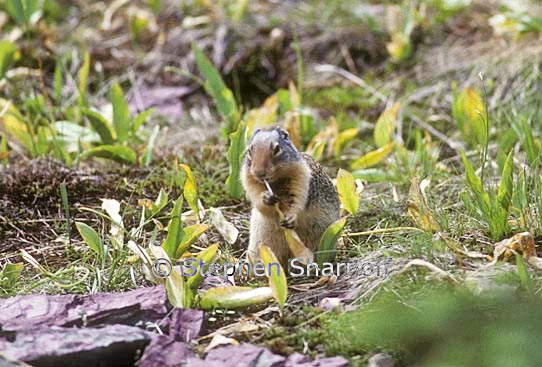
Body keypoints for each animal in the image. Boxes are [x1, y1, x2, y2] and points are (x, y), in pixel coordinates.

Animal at [242, 128, 340, 266]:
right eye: (249, 151)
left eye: (277, 148)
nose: (258, 172)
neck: (275, 182)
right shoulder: (248, 179)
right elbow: (258, 200)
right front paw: (265, 198)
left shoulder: (302, 177)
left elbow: (298, 200)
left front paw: (291, 218)